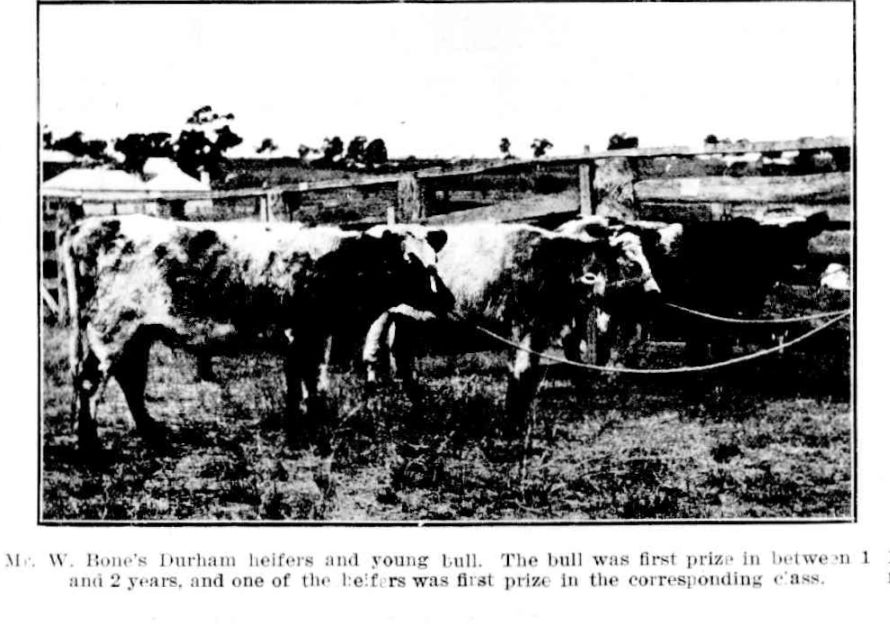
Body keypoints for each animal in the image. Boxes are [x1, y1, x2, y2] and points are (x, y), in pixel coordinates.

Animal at [358, 219, 656, 428]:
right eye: (631, 266)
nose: (655, 293)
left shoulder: (540, 330)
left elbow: (531, 373)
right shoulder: (523, 327)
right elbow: (521, 371)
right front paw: (512, 420)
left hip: (407, 322)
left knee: (403, 361)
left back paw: (419, 408)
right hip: (380, 320)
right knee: (373, 360)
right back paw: (376, 412)